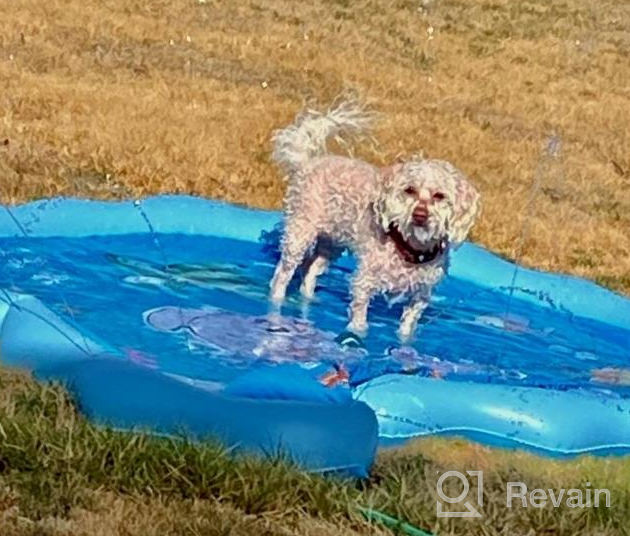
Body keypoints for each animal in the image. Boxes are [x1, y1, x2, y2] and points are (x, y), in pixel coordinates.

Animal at [270, 101, 482, 342]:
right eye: (409, 190)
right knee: (283, 273)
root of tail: (308, 161)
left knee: (311, 270)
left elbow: (408, 324)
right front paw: (357, 334)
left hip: (331, 243)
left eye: (440, 196)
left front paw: (404, 340)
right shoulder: (365, 281)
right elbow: (360, 316)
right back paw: (276, 300)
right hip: (300, 231)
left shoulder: (421, 294)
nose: (419, 214)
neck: (411, 249)